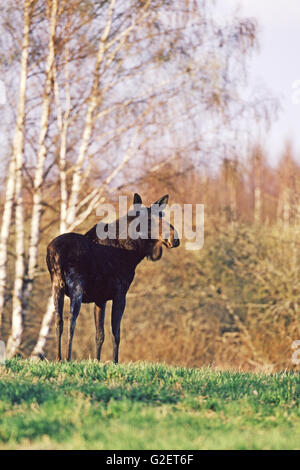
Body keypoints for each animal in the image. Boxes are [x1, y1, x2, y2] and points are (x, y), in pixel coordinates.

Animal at [45, 193, 179, 362]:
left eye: (162, 215)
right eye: (148, 220)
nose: (175, 238)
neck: (134, 254)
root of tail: (55, 252)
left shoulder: (100, 299)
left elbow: (99, 334)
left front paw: (97, 361)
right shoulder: (120, 294)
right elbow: (116, 334)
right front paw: (115, 362)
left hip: (57, 286)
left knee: (58, 320)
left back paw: (58, 358)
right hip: (76, 287)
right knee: (71, 320)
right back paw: (68, 358)